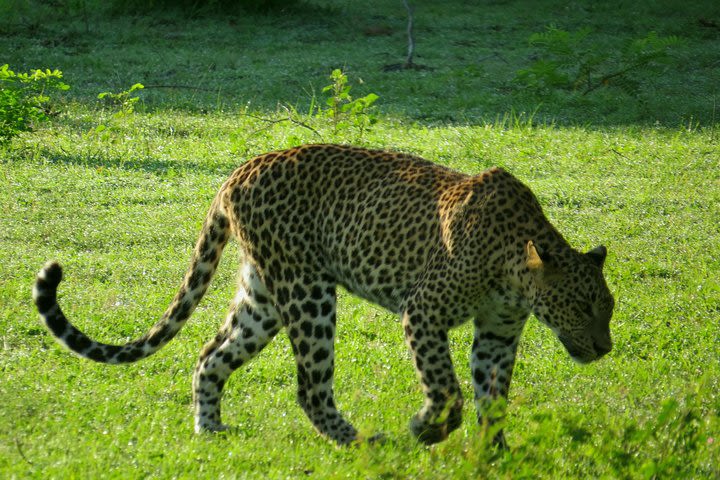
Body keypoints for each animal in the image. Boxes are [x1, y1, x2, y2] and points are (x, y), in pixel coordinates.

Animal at [33, 143, 612, 446]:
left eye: (606, 310)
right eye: (584, 307)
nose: (604, 348)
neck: (517, 272)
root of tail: (236, 172)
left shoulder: (497, 334)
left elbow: (494, 398)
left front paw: (495, 454)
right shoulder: (422, 312)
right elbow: (447, 387)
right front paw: (428, 428)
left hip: (263, 297)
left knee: (210, 355)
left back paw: (210, 431)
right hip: (307, 293)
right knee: (310, 388)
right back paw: (360, 442)